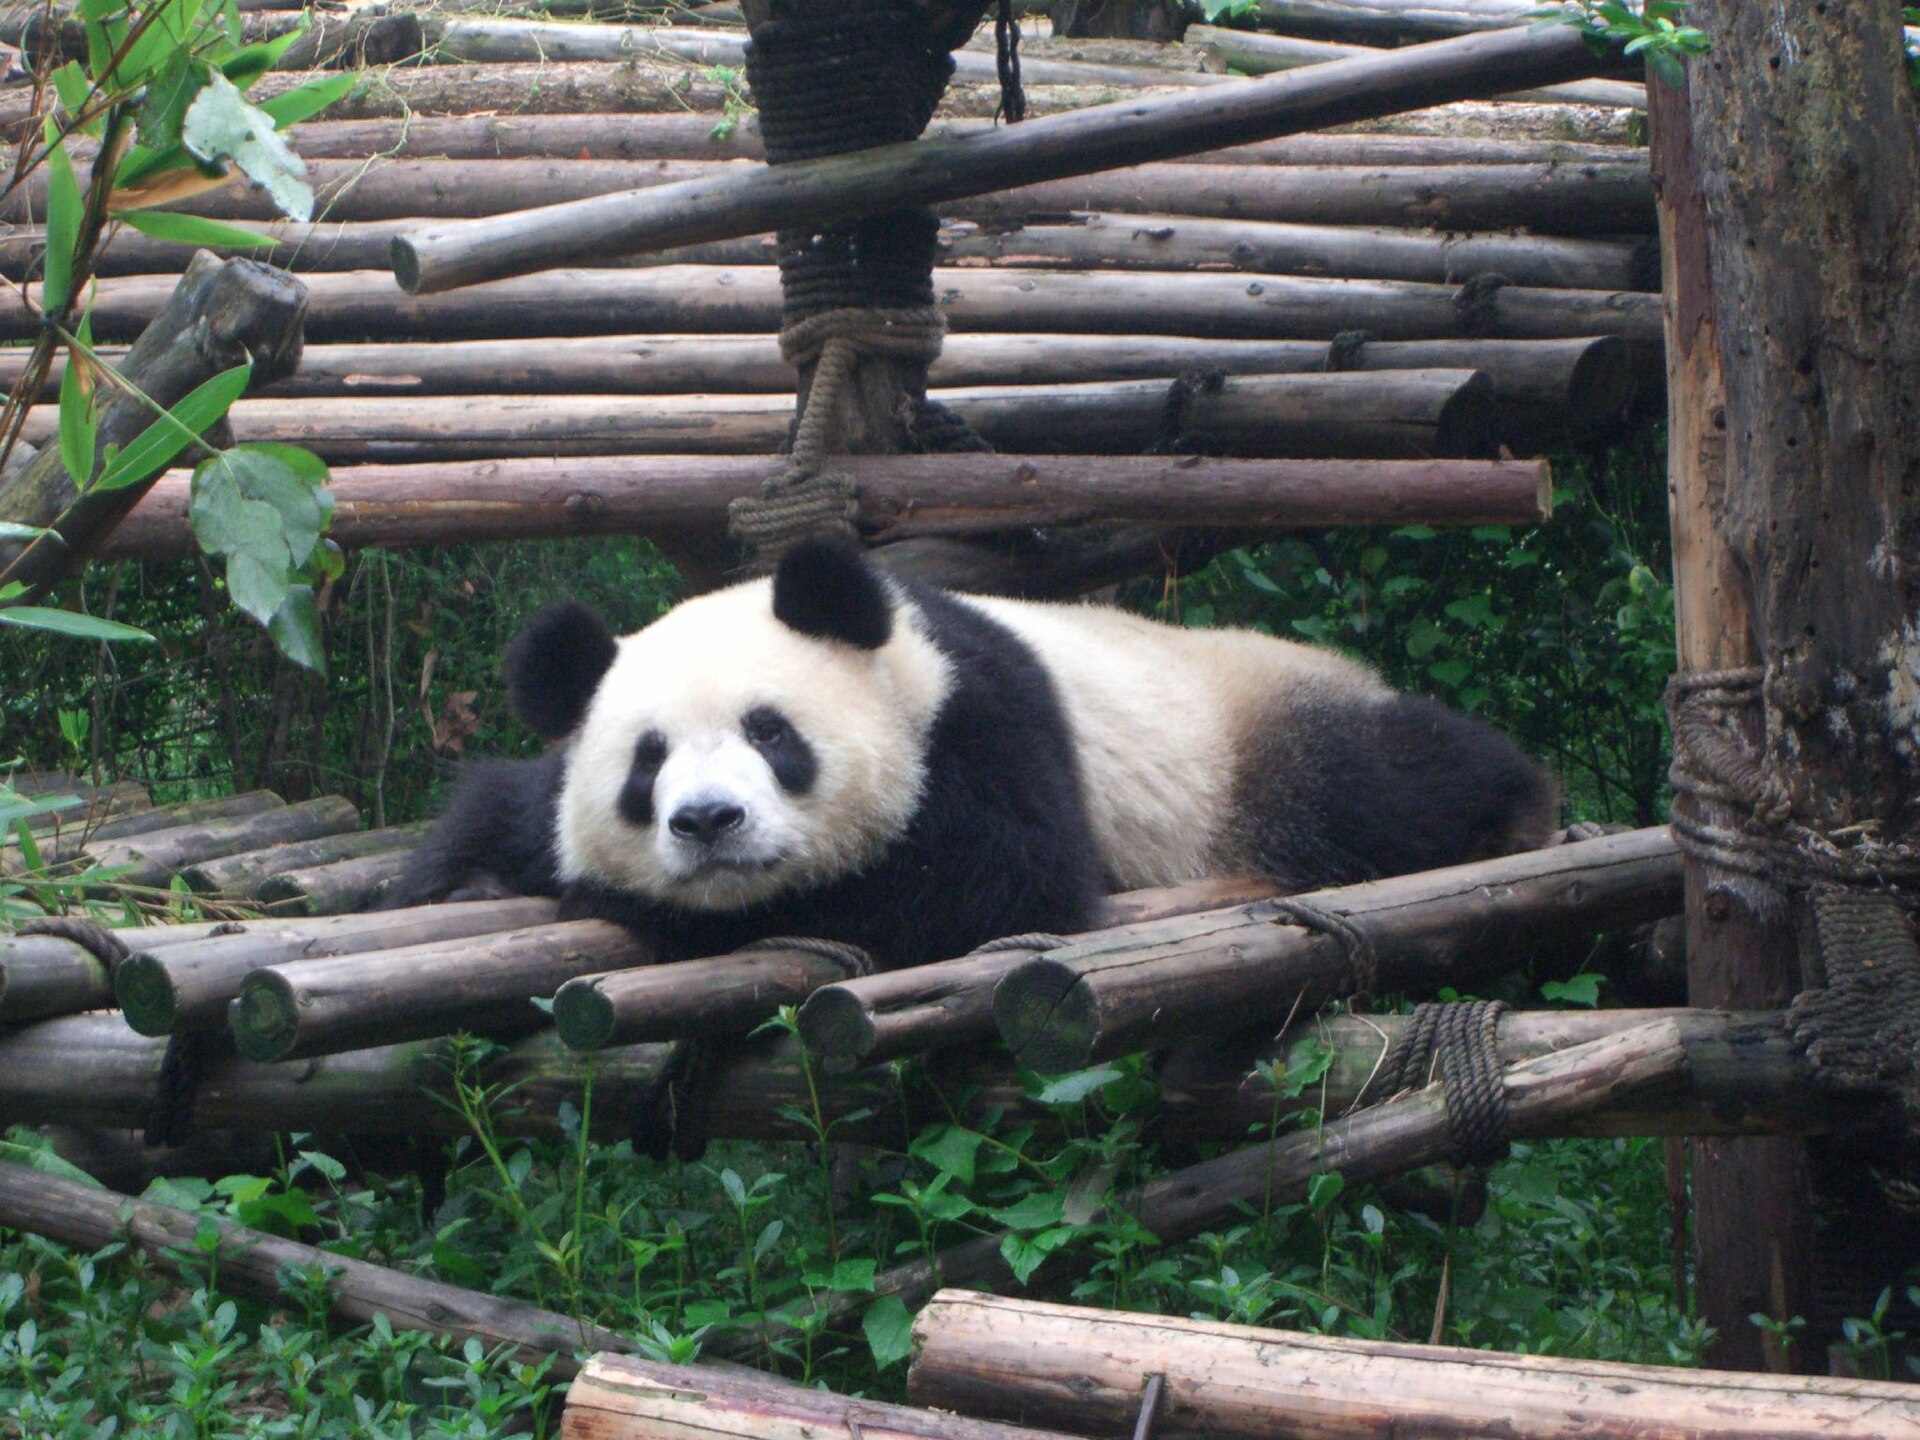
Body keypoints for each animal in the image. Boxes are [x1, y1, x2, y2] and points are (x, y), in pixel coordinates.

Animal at [386, 539, 1557, 969]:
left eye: (773, 733)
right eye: (646, 763)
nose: (709, 821)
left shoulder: (982, 722)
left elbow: (993, 885)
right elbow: (504, 808)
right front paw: (469, 878)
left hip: (1254, 735)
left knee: (1379, 784)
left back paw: (1516, 805)